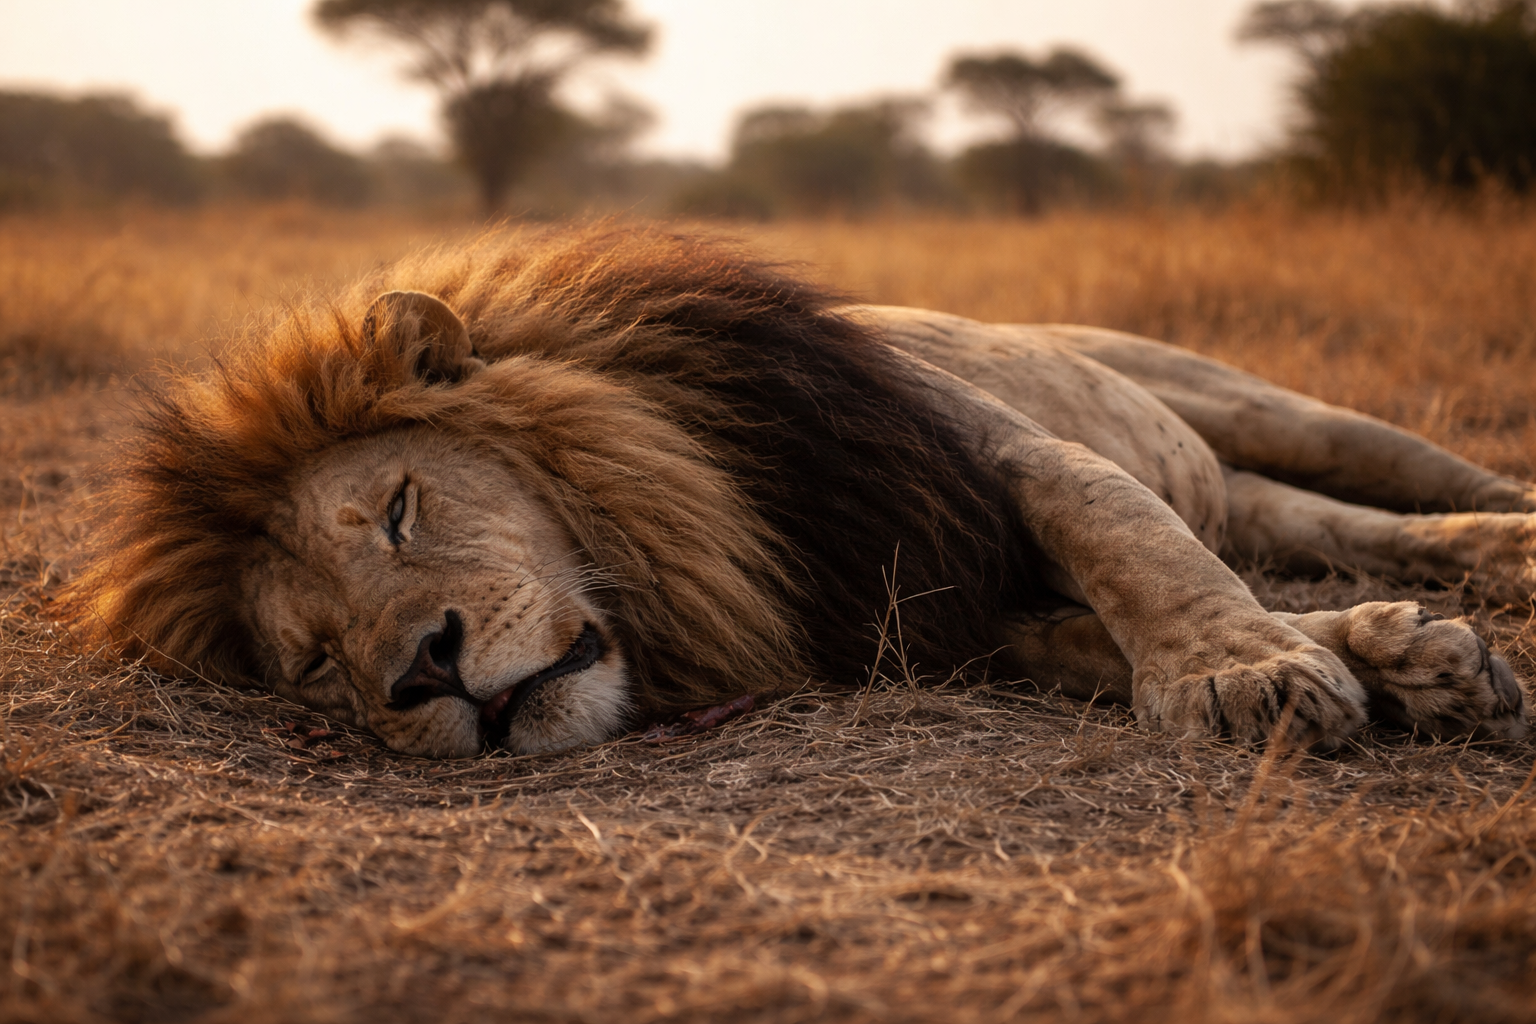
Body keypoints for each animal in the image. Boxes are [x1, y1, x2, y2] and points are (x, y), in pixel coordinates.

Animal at [80, 226, 1529, 758]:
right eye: (318, 664)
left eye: (399, 508)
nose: (423, 669)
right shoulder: (928, 616)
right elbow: (1085, 641)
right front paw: (1401, 659)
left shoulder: (972, 452)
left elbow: (1124, 532)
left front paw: (1247, 672)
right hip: (1258, 488)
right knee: (1326, 525)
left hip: (1250, 398)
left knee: (1397, 468)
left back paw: (1508, 537)